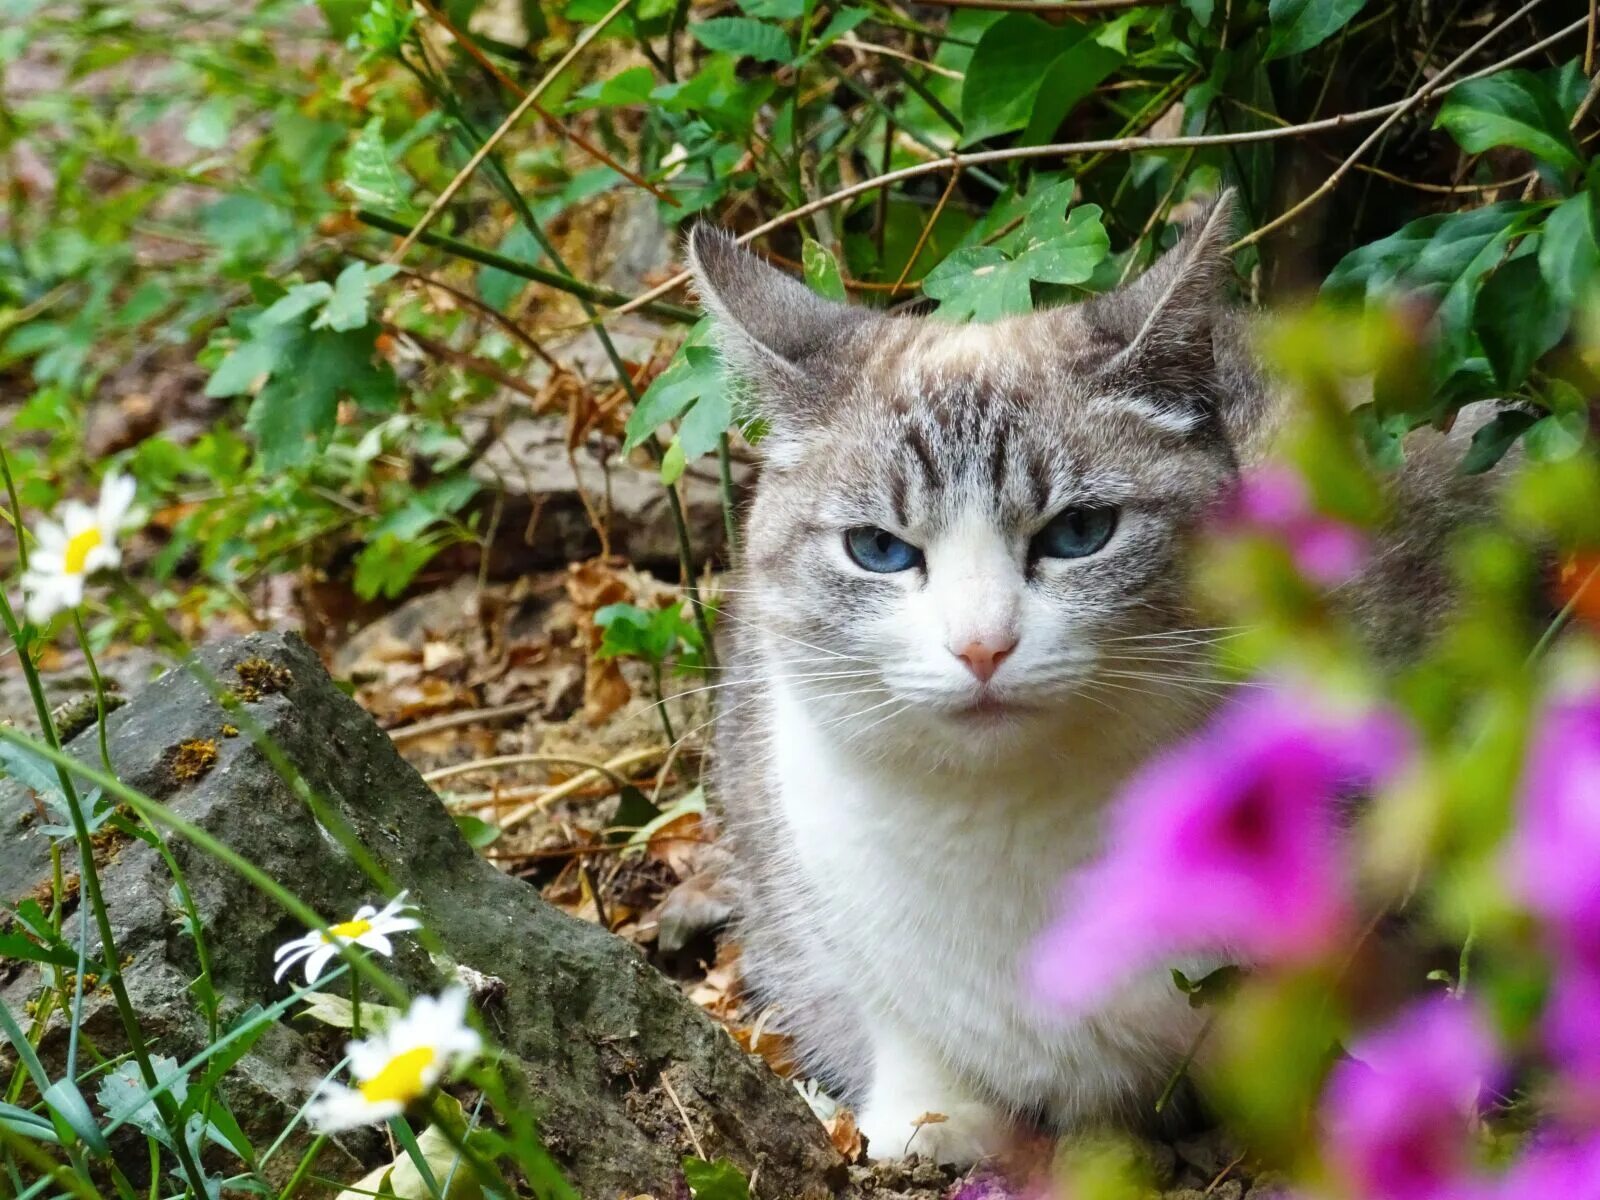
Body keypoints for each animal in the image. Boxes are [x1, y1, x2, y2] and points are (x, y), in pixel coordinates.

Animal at [694, 202, 1504, 1171]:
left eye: (1079, 533)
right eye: (880, 549)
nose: (981, 646)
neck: (1008, 822)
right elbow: (898, 1026)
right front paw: (927, 1118)